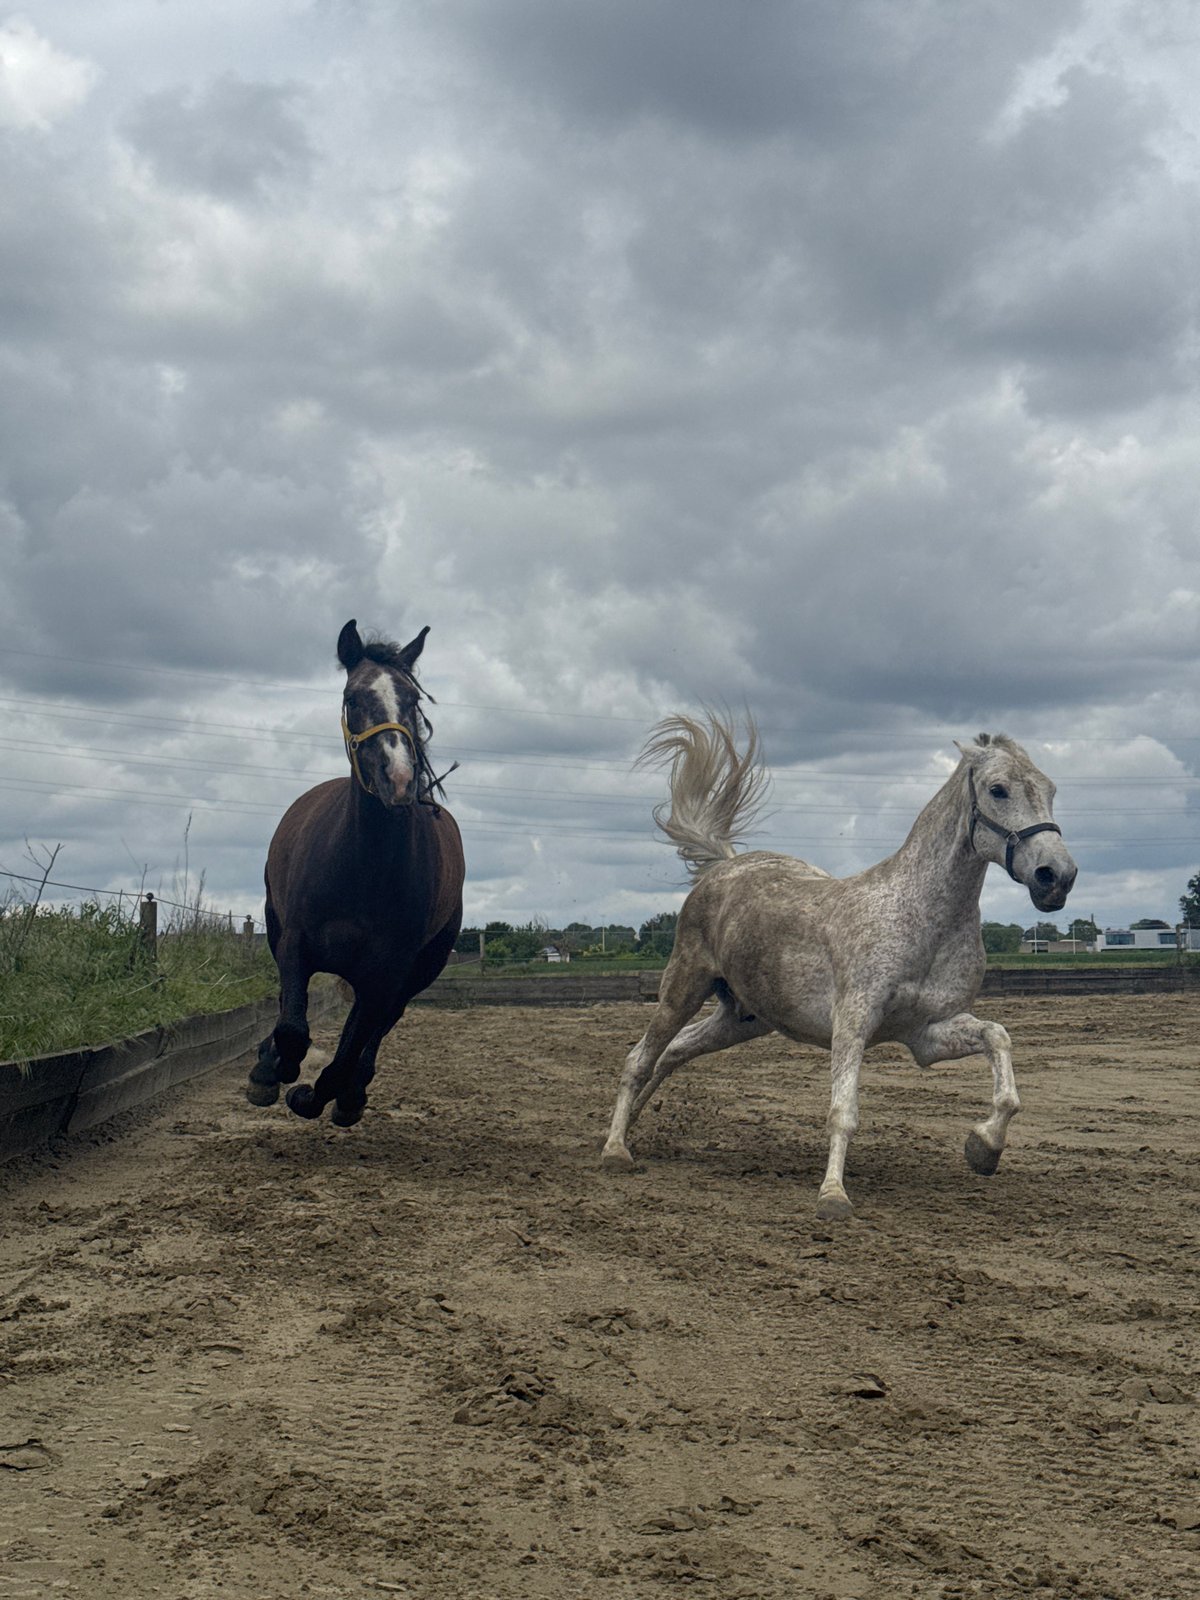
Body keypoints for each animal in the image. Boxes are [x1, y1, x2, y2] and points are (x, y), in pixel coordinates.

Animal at [246, 620, 464, 1126]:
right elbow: (292, 1026)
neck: (362, 866)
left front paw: (314, 1095)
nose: (398, 779)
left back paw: (349, 1095)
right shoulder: (295, 942)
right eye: (352, 698)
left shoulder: (386, 971)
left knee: (376, 1030)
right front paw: (272, 1068)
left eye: (413, 699)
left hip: (417, 971)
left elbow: (348, 1048)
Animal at [601, 713, 1077, 1219]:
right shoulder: (852, 1022)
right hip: (683, 986)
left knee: (673, 1053)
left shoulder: (927, 1034)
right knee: (639, 1057)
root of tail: (725, 867)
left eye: (1050, 789)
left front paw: (984, 1148)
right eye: (998, 789)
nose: (1057, 877)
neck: (921, 919)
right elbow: (843, 1111)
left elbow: (999, 1046)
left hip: (742, 1020)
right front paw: (832, 1196)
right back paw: (615, 1150)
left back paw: (634, 1127)